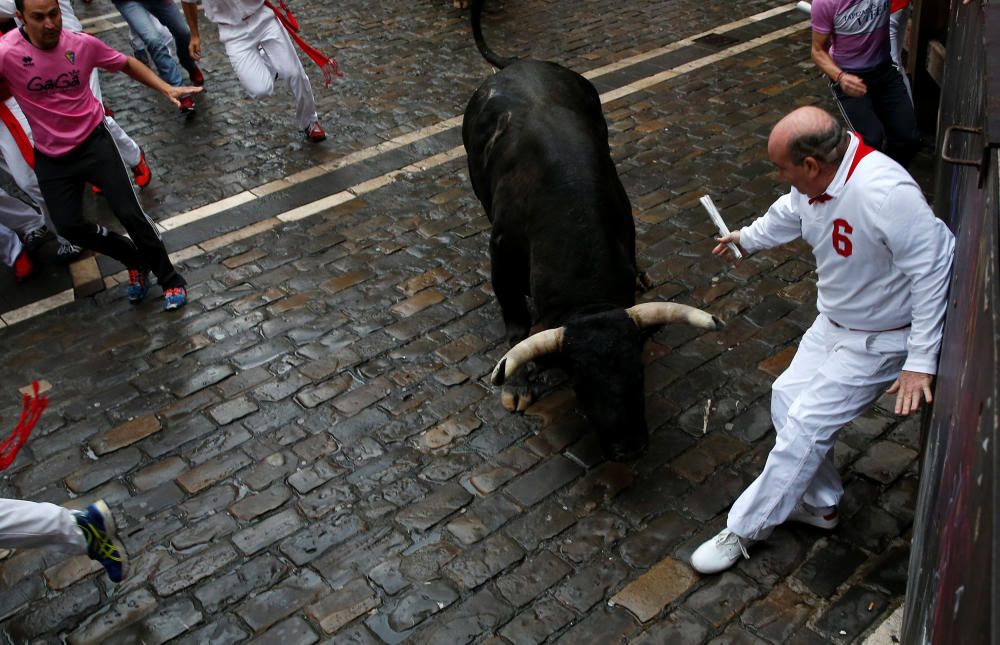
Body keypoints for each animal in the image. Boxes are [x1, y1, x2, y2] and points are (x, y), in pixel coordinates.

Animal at [460, 1, 720, 462]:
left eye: (638, 370)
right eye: (580, 380)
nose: (628, 447)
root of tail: (522, 63)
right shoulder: (501, 253)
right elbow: (515, 323)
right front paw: (518, 386)